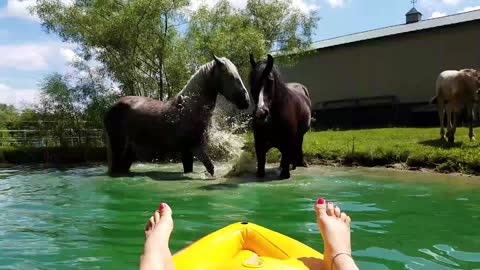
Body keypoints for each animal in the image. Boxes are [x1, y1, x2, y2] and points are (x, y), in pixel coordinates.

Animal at [103, 56, 249, 176]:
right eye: (231, 76)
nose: (246, 101)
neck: (188, 108)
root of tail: (112, 107)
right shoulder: (194, 148)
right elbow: (210, 168)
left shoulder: (187, 152)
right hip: (118, 149)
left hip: (128, 153)